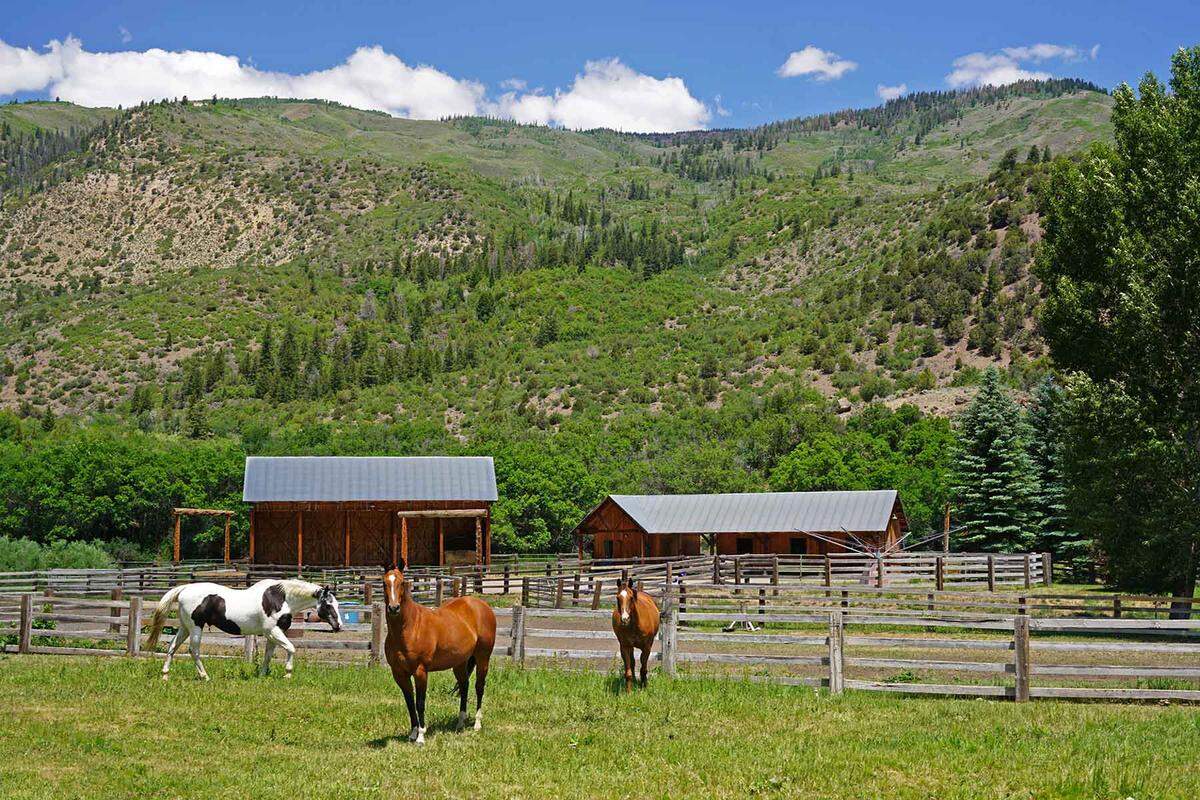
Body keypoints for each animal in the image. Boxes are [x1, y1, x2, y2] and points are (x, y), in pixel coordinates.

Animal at [145, 578, 343, 680]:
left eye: (337, 604)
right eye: (328, 605)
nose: (339, 626)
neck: (281, 598)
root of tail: (185, 589)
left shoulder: (272, 635)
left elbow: (268, 655)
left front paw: (262, 675)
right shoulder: (273, 631)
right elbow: (291, 649)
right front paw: (287, 673)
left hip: (185, 627)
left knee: (172, 647)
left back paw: (165, 675)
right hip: (195, 627)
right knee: (193, 650)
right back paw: (205, 676)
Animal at [381, 560, 496, 745]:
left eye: (402, 582)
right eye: (384, 583)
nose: (393, 608)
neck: (409, 627)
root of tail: (482, 606)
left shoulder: (420, 671)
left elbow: (420, 702)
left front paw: (421, 736)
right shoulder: (399, 673)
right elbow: (409, 702)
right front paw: (413, 733)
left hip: (483, 658)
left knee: (479, 686)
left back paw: (477, 724)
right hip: (460, 663)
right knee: (464, 685)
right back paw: (460, 723)